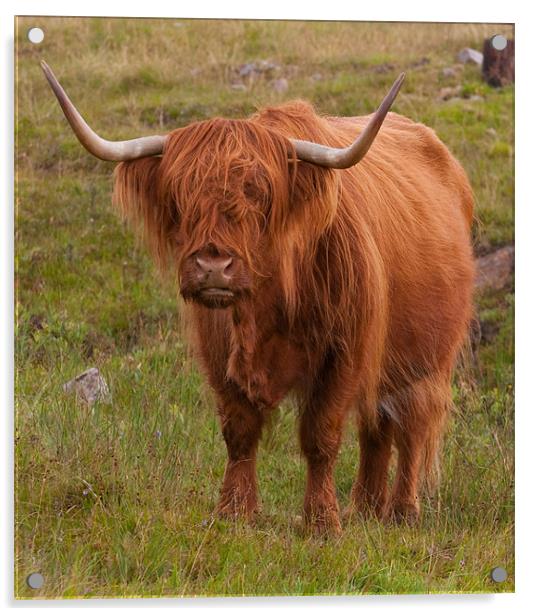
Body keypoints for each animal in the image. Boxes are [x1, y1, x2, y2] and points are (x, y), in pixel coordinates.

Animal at [43, 62, 474, 536]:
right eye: (180, 194)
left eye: (260, 195)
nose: (213, 266)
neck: (267, 307)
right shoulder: (219, 351)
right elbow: (240, 431)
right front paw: (234, 512)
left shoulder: (344, 351)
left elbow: (321, 435)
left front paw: (322, 522)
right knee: (376, 427)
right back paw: (364, 508)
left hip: (425, 359)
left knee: (409, 426)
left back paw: (401, 512)